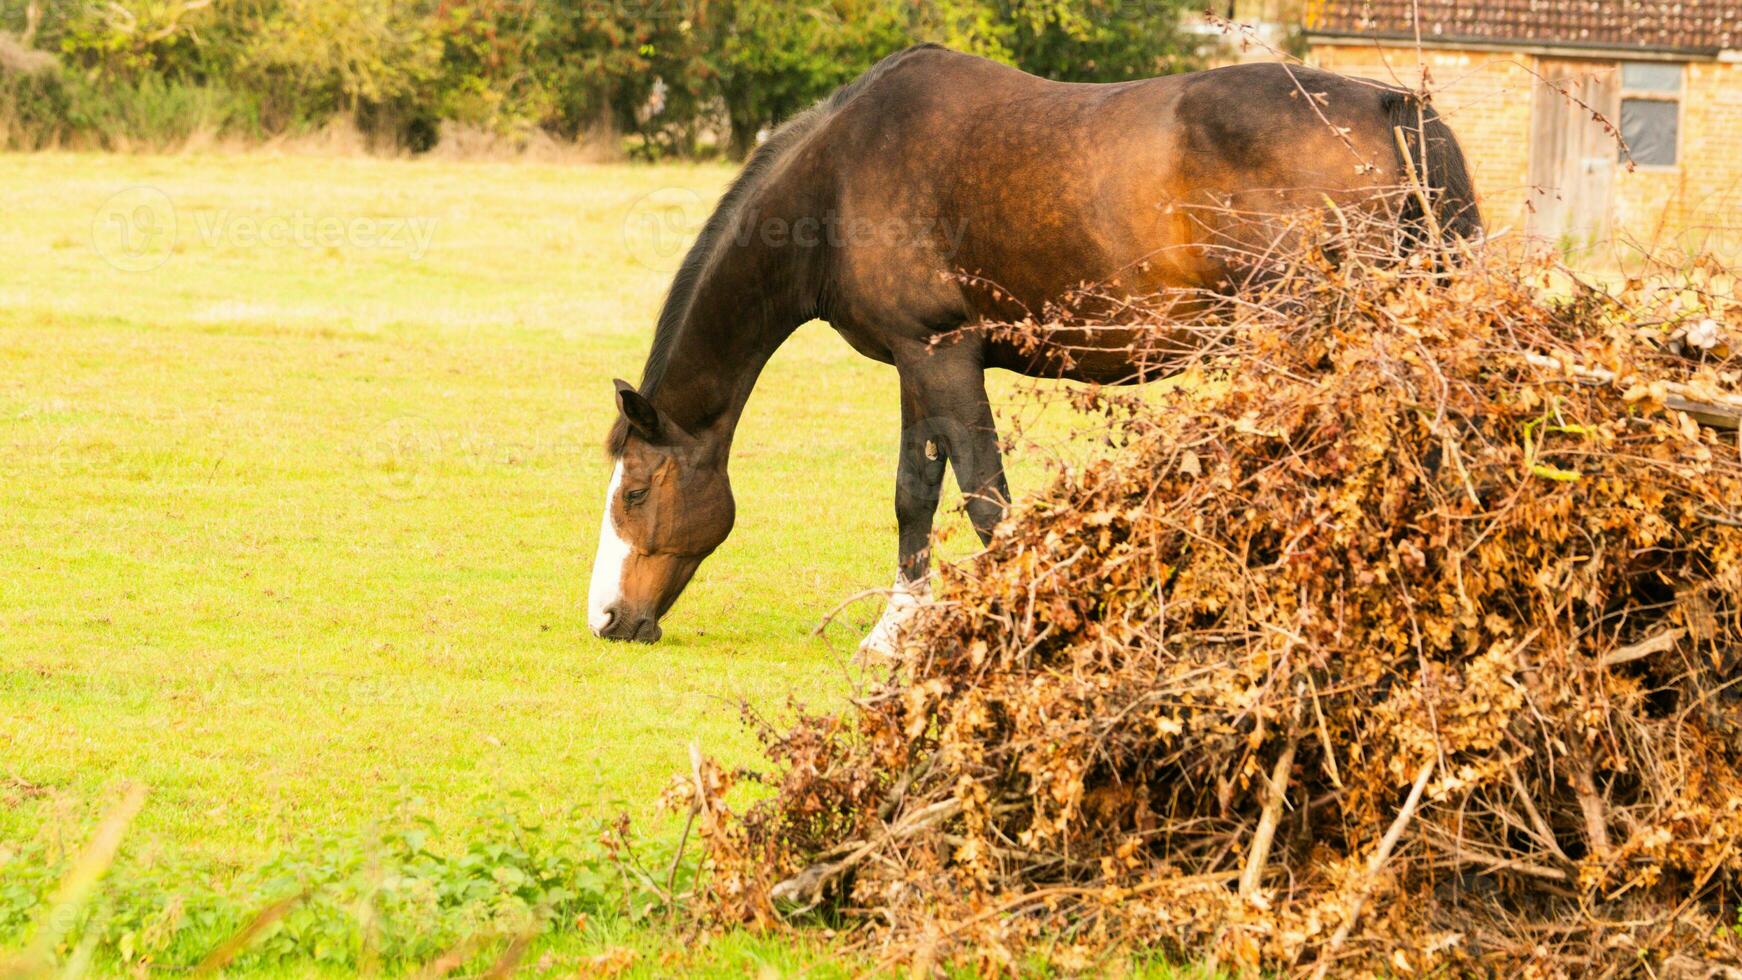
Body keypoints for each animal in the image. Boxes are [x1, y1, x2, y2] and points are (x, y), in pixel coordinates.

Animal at [592, 42, 1477, 647]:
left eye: (634, 492)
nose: (608, 617)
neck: (839, 178)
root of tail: (1390, 107)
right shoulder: (917, 360)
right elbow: (918, 491)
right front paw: (896, 628)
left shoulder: (942, 353)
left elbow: (984, 498)